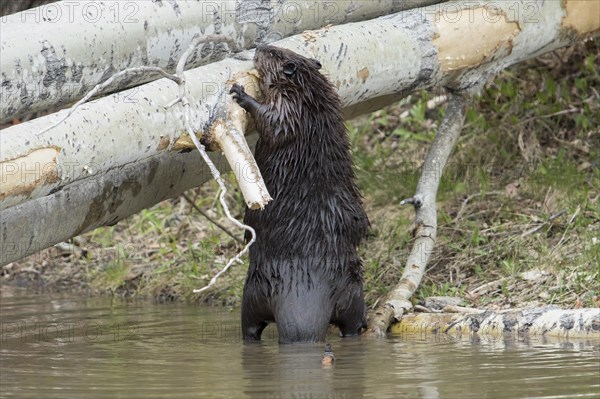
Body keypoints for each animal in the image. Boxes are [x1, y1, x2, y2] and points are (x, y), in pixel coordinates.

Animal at [231, 44, 368, 344]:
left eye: (272, 52)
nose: (259, 46)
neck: (312, 97)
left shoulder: (291, 107)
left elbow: (273, 123)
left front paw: (240, 93)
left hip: (251, 292)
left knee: (249, 324)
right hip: (352, 291)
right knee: (351, 319)